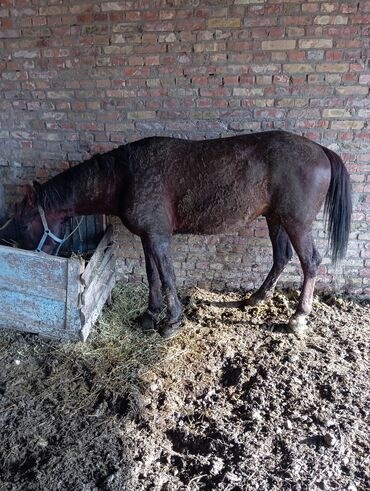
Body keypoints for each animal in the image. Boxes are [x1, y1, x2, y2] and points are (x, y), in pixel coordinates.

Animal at [0, 131, 352, 338]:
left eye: (23, 223)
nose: (29, 257)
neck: (124, 176)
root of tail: (320, 149)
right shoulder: (147, 237)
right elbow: (153, 275)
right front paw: (150, 314)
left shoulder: (159, 238)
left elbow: (168, 277)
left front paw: (171, 321)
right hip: (276, 220)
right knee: (282, 258)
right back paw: (256, 298)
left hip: (296, 223)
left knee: (310, 262)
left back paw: (298, 318)